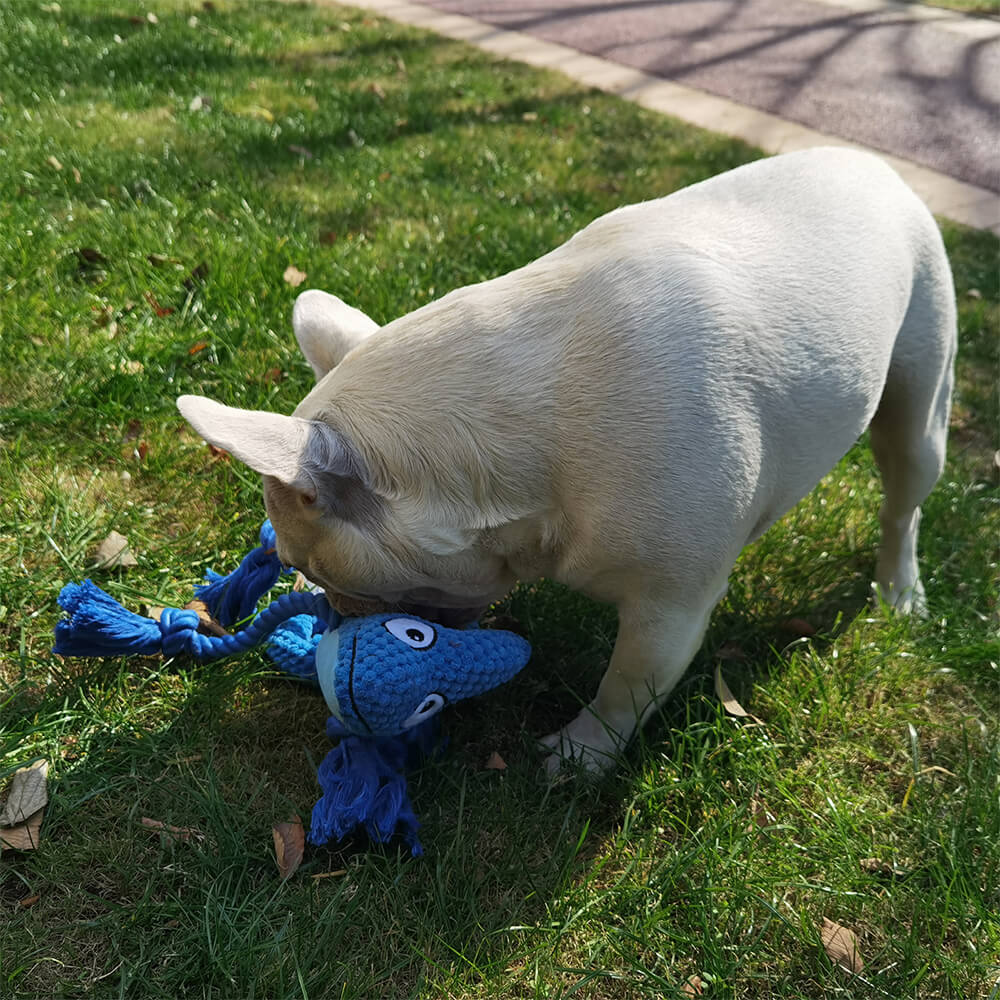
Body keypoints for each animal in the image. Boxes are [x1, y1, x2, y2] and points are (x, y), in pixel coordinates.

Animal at [178, 148, 952, 768]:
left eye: (314, 570)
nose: (333, 616)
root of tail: (872, 164)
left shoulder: (669, 609)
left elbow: (625, 688)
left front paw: (580, 757)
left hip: (921, 402)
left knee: (903, 502)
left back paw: (899, 592)